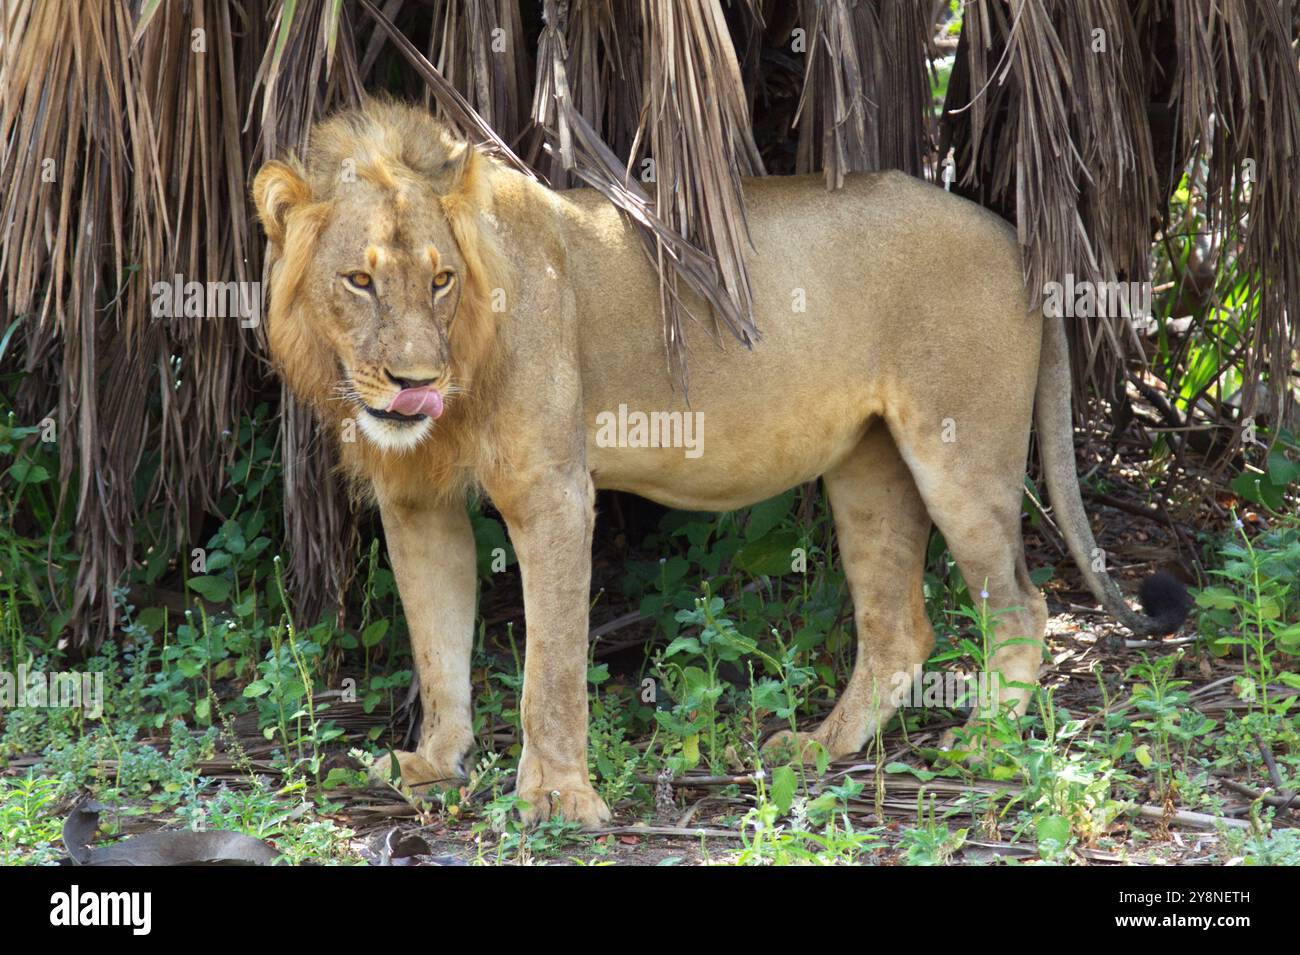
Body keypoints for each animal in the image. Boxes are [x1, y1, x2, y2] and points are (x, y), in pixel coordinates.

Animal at [253, 99, 1187, 827]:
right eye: (359, 282)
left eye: (441, 279)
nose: (416, 384)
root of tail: (1016, 237)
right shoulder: (417, 503)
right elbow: (438, 642)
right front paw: (433, 762)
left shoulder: (554, 491)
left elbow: (550, 666)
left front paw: (556, 798)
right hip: (868, 467)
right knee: (899, 629)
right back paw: (818, 746)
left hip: (959, 454)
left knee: (1023, 606)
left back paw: (982, 742)